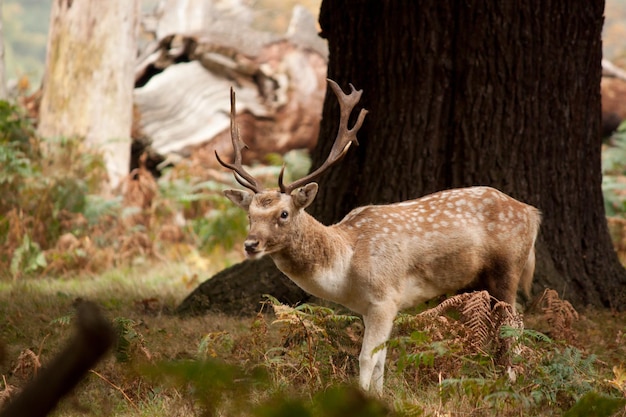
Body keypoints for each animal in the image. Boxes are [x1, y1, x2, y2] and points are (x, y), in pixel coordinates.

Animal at [217, 78, 540, 394]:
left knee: (514, 324)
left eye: (283, 214)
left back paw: (512, 382)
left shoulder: (385, 297)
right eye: (250, 215)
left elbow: (365, 358)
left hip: (508, 267)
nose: (250, 244)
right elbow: (381, 360)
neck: (345, 268)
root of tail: (531, 212)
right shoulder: (372, 307)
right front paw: (380, 396)